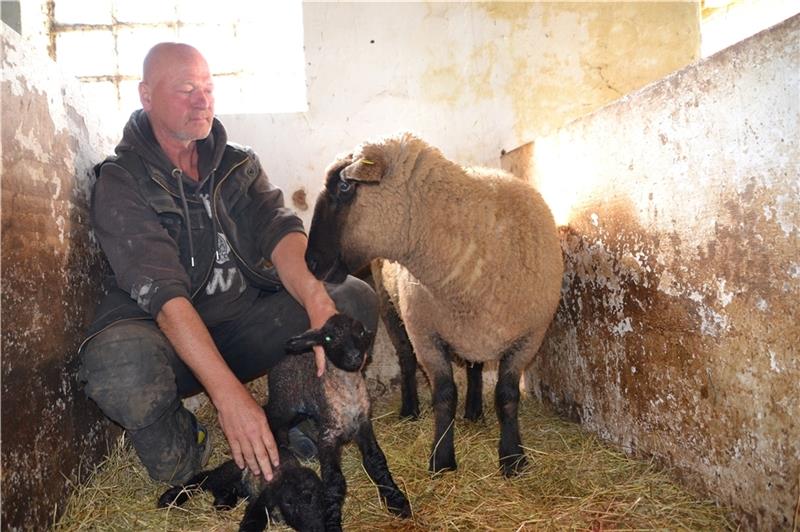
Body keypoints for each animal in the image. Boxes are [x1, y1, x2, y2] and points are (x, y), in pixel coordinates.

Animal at [306, 134, 564, 478]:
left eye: (344, 187)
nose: (310, 262)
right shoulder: (425, 334)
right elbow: (444, 395)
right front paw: (441, 459)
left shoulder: (529, 337)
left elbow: (507, 396)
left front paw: (512, 458)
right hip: (390, 307)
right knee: (405, 359)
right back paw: (410, 409)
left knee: (474, 366)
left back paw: (474, 411)